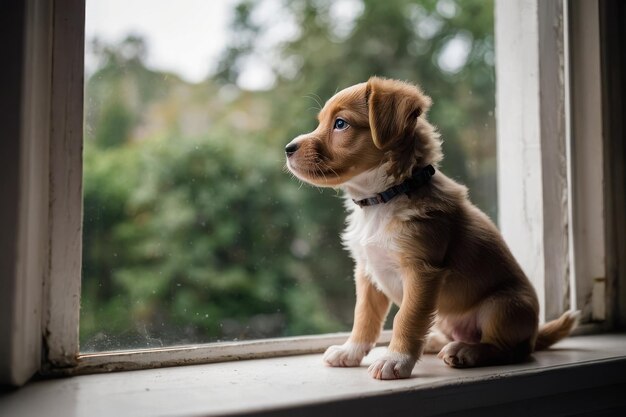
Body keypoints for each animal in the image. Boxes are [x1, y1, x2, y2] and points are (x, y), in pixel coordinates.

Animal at [282, 76, 576, 378]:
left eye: (340, 123)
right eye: (320, 122)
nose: (288, 149)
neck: (384, 198)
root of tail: (534, 334)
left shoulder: (422, 272)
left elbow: (407, 318)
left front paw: (396, 359)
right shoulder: (367, 271)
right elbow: (364, 316)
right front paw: (350, 351)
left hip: (503, 306)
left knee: (512, 350)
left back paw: (467, 351)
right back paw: (438, 342)